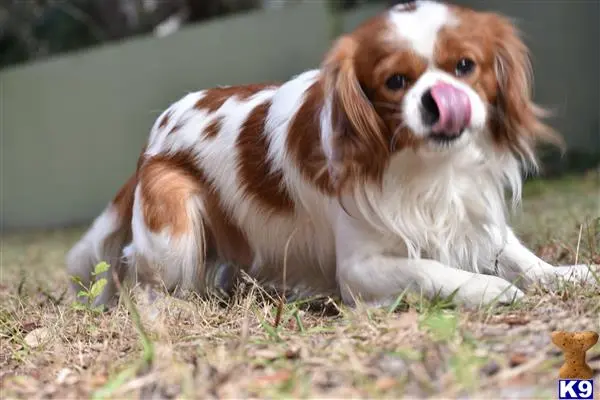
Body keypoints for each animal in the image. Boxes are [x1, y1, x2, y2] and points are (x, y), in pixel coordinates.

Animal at [68, 0, 596, 310]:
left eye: (465, 66)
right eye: (395, 82)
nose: (438, 99)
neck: (426, 165)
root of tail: (149, 143)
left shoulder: (470, 213)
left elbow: (518, 255)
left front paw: (565, 275)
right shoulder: (361, 268)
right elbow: (428, 269)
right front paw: (487, 289)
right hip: (174, 232)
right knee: (140, 275)